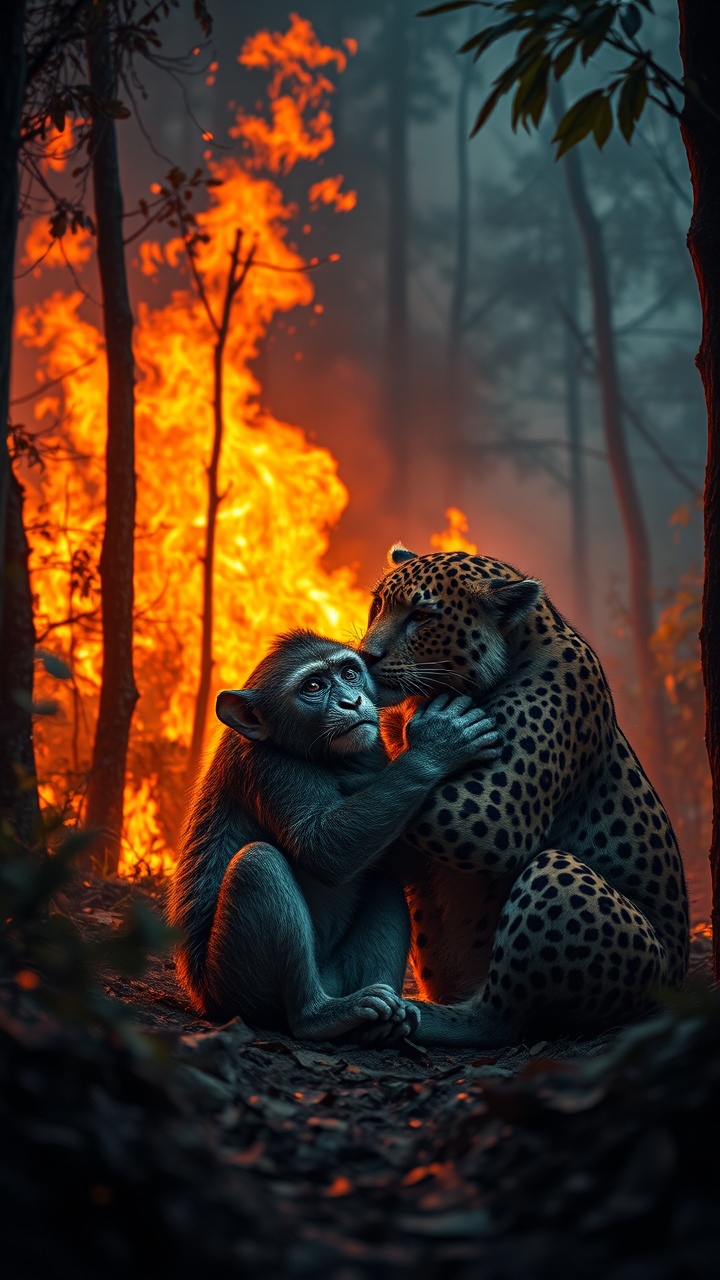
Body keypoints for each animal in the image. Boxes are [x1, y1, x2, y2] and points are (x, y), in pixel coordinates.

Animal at [166, 627, 499, 1039]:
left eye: (350, 673)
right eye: (313, 685)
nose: (350, 700)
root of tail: (202, 1000)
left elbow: (405, 865)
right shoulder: (270, 767)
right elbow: (323, 847)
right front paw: (435, 744)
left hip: (338, 976)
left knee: (383, 882)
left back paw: (384, 1022)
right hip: (235, 990)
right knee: (258, 864)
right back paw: (320, 1016)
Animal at [361, 545, 686, 1044]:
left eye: (422, 616)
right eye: (377, 605)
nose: (365, 655)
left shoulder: (494, 813)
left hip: (557, 874)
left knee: (499, 1017)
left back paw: (407, 1014)